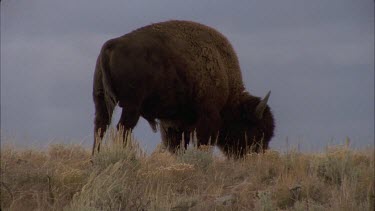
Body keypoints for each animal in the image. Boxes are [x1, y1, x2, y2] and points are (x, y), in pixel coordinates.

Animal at [92, 20, 274, 158]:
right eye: (257, 129)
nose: (258, 153)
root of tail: (113, 44)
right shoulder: (207, 115)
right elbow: (202, 142)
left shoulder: (175, 123)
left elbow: (178, 145)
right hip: (132, 106)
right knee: (122, 128)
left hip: (101, 100)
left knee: (101, 126)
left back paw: (95, 158)